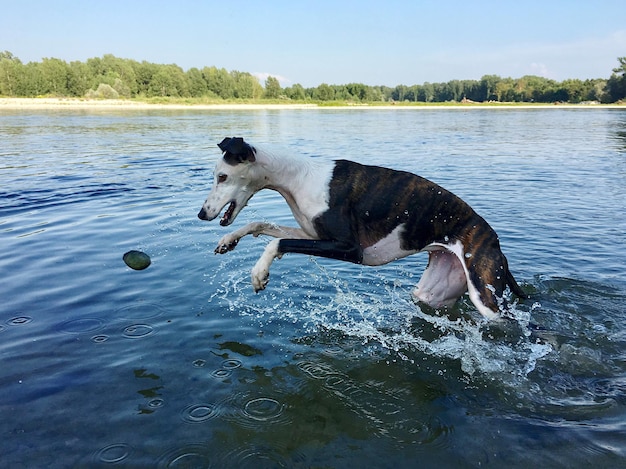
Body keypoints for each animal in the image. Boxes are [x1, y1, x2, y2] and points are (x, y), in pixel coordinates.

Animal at [197, 135, 524, 318]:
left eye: (222, 176)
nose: (201, 214)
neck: (300, 178)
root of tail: (495, 241)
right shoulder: (311, 234)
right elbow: (261, 224)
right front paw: (228, 240)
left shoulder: (350, 249)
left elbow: (277, 242)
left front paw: (259, 273)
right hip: (435, 292)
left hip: (485, 297)